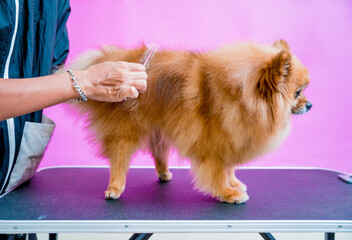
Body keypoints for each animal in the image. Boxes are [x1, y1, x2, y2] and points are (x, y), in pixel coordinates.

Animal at [66, 39, 310, 204]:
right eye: (298, 92)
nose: (310, 105)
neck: (241, 96)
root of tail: (118, 59)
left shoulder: (232, 137)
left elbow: (229, 167)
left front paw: (233, 183)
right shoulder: (214, 143)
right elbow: (217, 172)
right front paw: (228, 193)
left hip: (159, 126)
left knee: (159, 152)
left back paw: (164, 173)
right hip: (126, 131)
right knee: (119, 160)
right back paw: (115, 188)